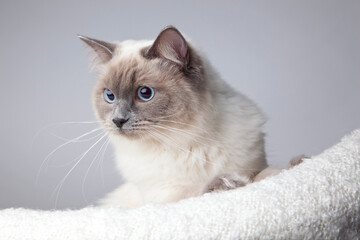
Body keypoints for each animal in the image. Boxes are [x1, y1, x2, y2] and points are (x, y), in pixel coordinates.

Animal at [79, 25, 300, 207]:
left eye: (145, 93)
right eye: (110, 96)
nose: (118, 120)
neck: (182, 141)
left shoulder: (253, 165)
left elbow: (266, 175)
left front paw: (296, 163)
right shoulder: (165, 199)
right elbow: (198, 192)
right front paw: (226, 183)